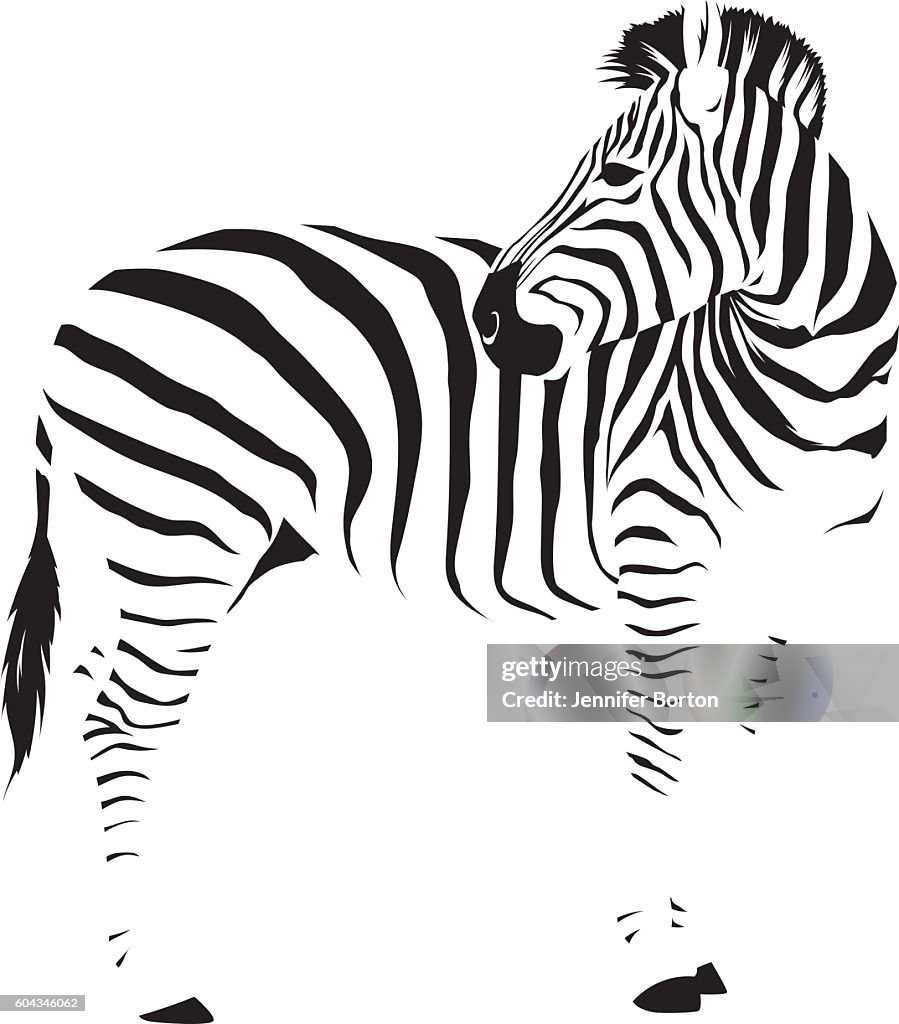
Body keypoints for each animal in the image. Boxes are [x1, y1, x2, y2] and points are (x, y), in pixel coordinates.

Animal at [3, 2, 896, 1019]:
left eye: (619, 177)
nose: (491, 323)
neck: (807, 382)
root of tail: (84, 297)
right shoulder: (660, 552)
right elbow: (659, 741)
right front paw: (657, 957)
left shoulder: (783, 587)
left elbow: (722, 733)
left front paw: (694, 941)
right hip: (183, 533)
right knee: (124, 723)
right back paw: (156, 978)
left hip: (138, 543)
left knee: (91, 704)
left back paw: (109, 950)